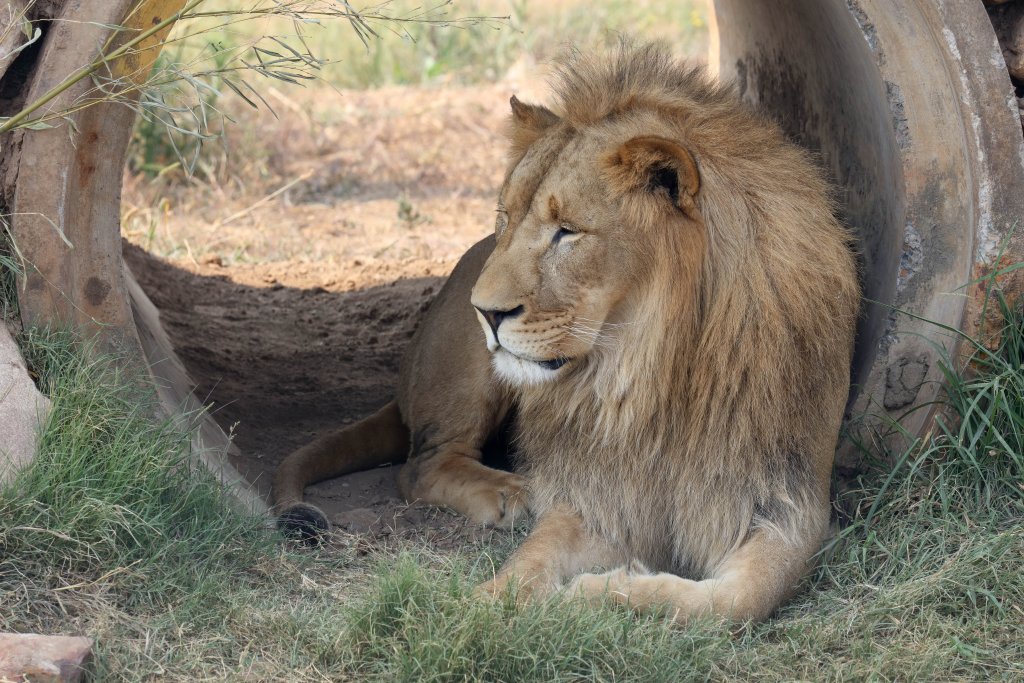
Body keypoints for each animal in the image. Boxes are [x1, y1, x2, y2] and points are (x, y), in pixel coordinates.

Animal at [273, 43, 860, 623]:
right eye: (505, 217)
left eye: (568, 232)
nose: (484, 311)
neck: (651, 370)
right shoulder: (598, 493)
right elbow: (532, 557)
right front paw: (485, 607)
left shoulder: (787, 502)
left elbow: (738, 599)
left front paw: (603, 592)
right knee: (421, 464)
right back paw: (514, 491)